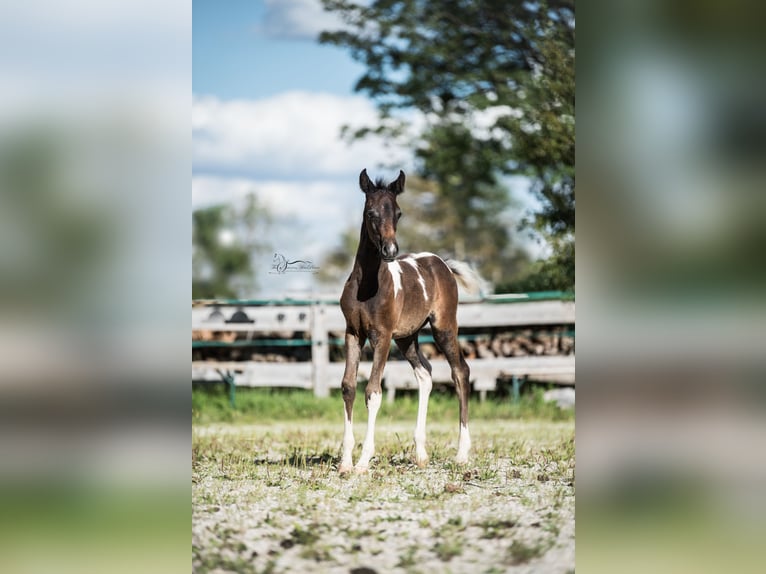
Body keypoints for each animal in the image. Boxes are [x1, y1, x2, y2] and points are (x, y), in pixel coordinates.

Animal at [340, 169, 484, 474]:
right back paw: (420, 454)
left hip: (443, 327)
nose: (390, 250)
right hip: (406, 337)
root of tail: (442, 264)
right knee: (425, 374)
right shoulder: (353, 333)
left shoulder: (381, 336)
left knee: (460, 371)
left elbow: (373, 391)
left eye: (398, 213)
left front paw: (363, 461)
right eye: (370, 213)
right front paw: (345, 461)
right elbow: (349, 387)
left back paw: (461, 453)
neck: (367, 285)